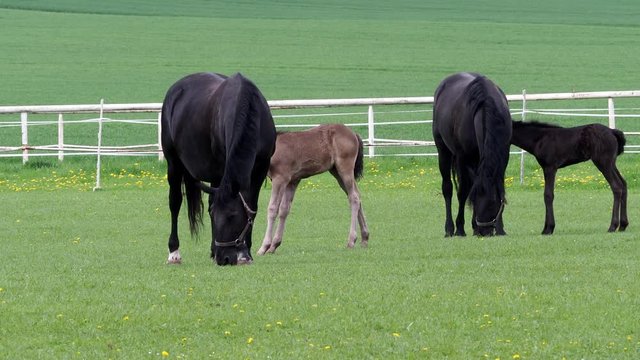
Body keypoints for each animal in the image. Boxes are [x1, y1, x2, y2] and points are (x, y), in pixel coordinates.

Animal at [160, 72, 276, 264]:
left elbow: (251, 208)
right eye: (215, 217)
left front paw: (246, 252)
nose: (225, 258)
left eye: (232, 216)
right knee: (175, 202)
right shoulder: (222, 167)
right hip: (174, 163)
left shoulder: (261, 168)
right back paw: (174, 252)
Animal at [432, 73, 512, 236]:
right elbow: (463, 192)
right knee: (447, 188)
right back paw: (449, 229)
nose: (485, 231)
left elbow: (500, 188)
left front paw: (501, 229)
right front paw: (460, 229)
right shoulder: (463, 157)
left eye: (492, 204)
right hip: (443, 151)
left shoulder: (503, 156)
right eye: (476, 200)